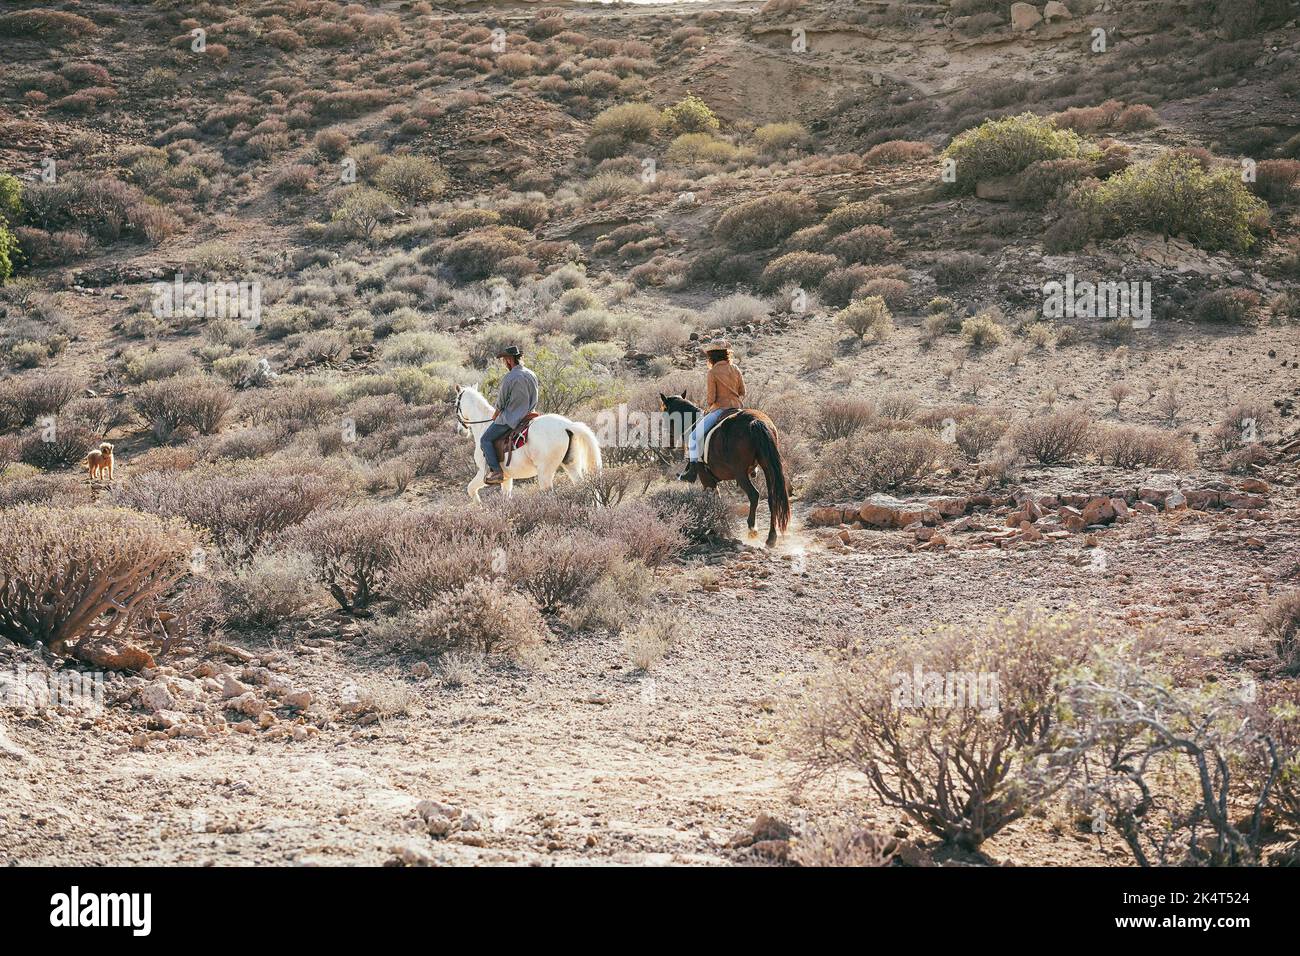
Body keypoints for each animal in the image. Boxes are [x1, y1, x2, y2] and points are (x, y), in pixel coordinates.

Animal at [452, 382, 603, 502]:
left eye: (456, 404)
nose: (461, 431)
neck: (483, 426)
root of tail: (568, 426)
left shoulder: (483, 472)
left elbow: (471, 488)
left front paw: (480, 506)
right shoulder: (507, 477)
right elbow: (506, 497)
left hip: (545, 473)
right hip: (570, 465)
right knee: (582, 486)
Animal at [660, 395, 790, 546]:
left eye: (664, 415)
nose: (668, 445)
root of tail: (755, 421)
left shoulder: (707, 479)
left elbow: (713, 500)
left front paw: (712, 528)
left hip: (741, 474)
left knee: (754, 495)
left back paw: (752, 529)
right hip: (767, 468)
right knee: (772, 497)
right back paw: (771, 537)